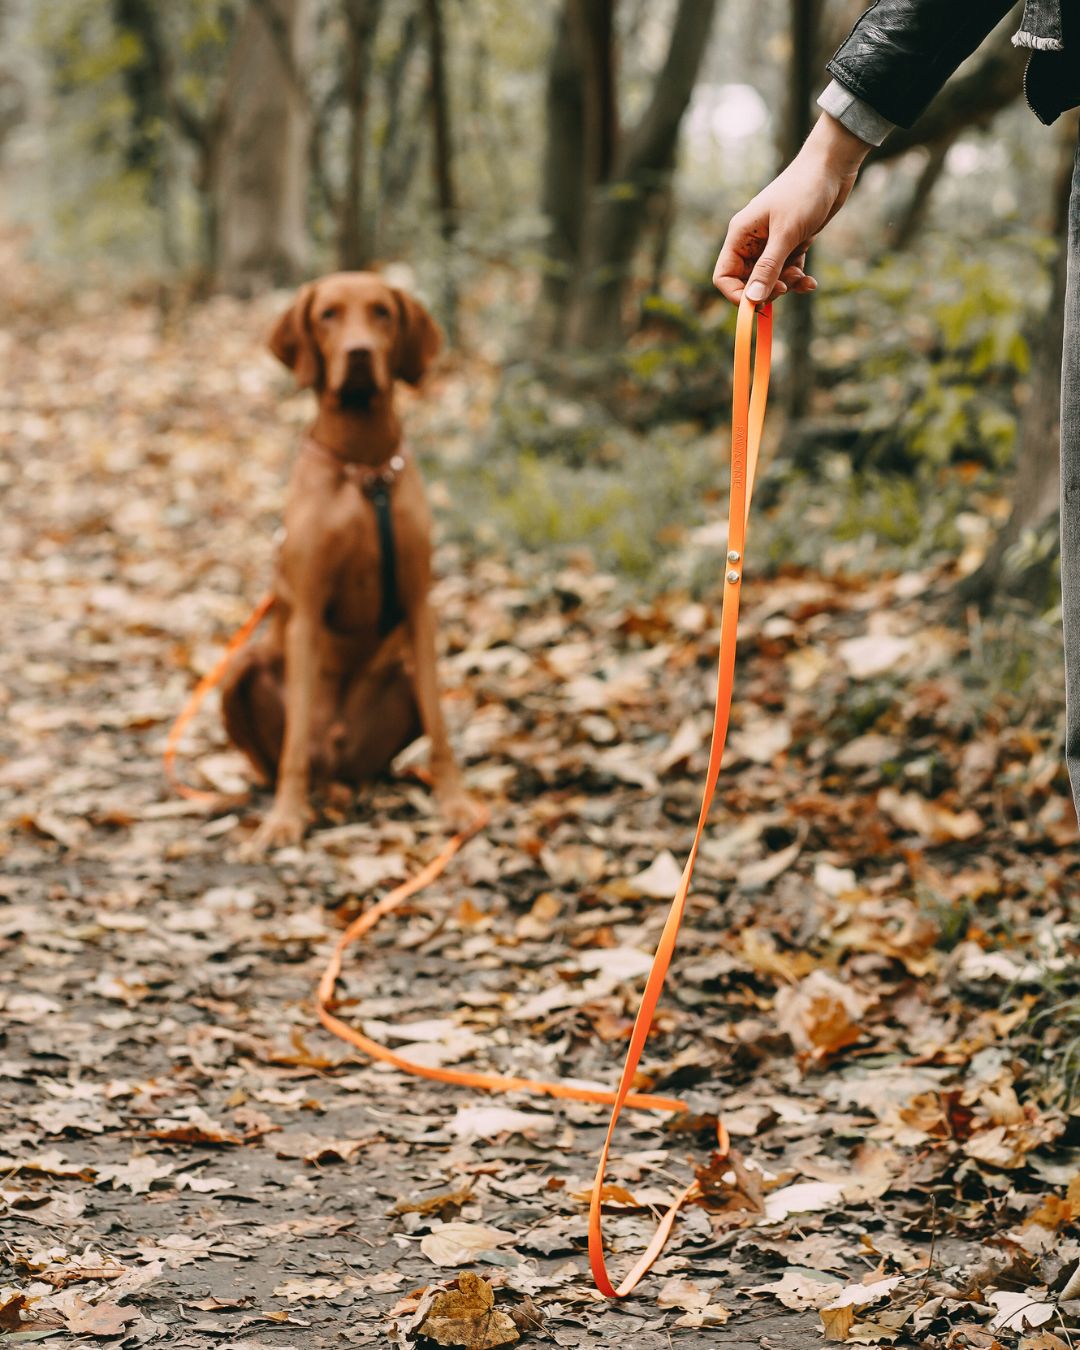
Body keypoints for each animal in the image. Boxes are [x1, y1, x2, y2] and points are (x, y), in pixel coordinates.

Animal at [221, 268, 477, 847]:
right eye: (327, 315)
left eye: (381, 311)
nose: (359, 354)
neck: (364, 471)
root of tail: (337, 762)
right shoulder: (308, 611)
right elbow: (293, 743)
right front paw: (285, 819)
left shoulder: (419, 605)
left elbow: (440, 726)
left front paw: (454, 803)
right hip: (239, 669)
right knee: (285, 760)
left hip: (401, 676)